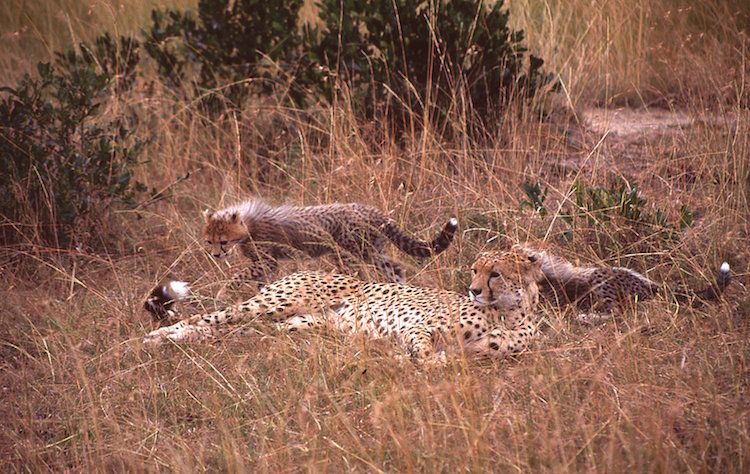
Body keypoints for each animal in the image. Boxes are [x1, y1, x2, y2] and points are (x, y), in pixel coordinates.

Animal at [142, 248, 548, 362]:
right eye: (475, 269)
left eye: (495, 273)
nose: (473, 289)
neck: (508, 313)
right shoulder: (420, 328)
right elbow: (423, 351)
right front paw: (410, 359)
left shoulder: (479, 353)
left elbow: (450, 358)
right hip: (276, 302)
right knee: (206, 318)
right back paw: (157, 339)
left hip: (297, 325)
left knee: (233, 334)